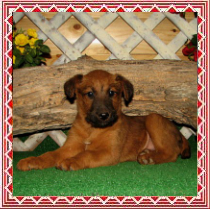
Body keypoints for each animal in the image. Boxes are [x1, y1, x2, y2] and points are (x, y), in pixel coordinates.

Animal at [16, 70, 190, 171]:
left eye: (112, 93)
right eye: (90, 94)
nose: (104, 115)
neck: (92, 129)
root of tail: (179, 133)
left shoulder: (108, 152)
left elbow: (86, 155)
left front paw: (71, 161)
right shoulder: (69, 147)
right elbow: (50, 155)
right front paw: (32, 161)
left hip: (153, 119)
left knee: (171, 153)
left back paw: (149, 158)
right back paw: (147, 153)